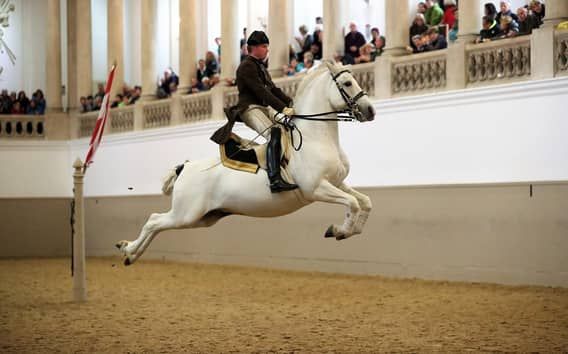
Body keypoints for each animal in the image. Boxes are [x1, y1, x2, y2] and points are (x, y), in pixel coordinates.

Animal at [117, 61, 374, 266]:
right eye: (347, 83)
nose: (370, 110)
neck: (315, 137)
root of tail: (185, 167)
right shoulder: (317, 189)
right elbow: (352, 204)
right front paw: (340, 231)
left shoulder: (337, 183)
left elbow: (364, 203)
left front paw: (345, 230)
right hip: (186, 214)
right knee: (154, 221)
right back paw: (129, 250)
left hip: (202, 218)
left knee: (157, 224)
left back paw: (130, 253)